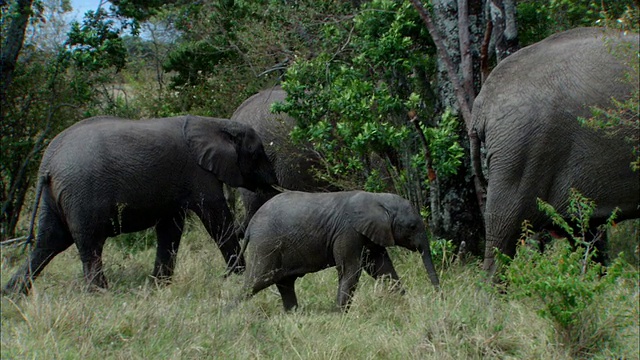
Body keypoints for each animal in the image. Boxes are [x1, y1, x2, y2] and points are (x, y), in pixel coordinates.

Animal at [2, 115, 278, 296]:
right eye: (257, 153)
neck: (218, 123)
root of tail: (48, 163)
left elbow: (170, 228)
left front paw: (159, 286)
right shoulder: (198, 173)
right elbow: (216, 219)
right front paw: (237, 276)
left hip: (55, 195)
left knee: (50, 241)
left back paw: (12, 295)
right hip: (82, 193)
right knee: (89, 242)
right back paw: (100, 294)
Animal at [231, 190, 440, 310]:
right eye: (412, 227)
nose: (440, 297)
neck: (378, 199)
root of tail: (250, 226)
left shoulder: (370, 234)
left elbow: (382, 269)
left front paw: (406, 304)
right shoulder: (348, 232)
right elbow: (351, 271)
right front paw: (340, 315)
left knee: (285, 284)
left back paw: (294, 314)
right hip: (266, 245)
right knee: (256, 282)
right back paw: (229, 314)